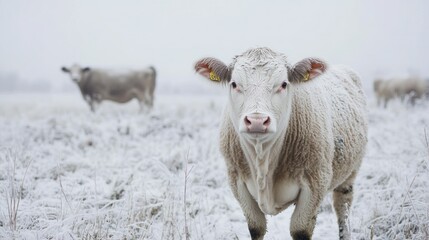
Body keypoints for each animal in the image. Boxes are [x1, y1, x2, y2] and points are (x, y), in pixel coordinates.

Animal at [194, 47, 364, 240]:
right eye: (234, 84)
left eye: (283, 84)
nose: (257, 121)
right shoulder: (237, 181)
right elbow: (256, 227)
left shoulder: (316, 183)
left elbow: (300, 230)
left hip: (350, 175)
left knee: (343, 208)